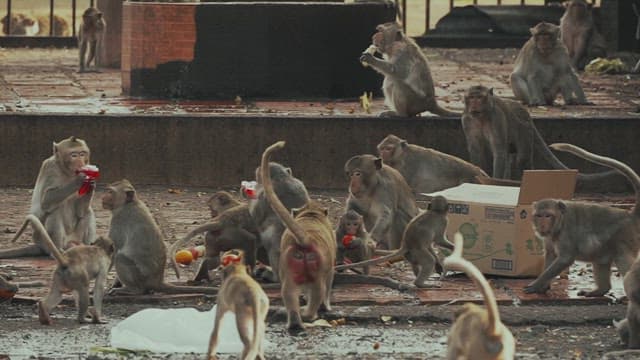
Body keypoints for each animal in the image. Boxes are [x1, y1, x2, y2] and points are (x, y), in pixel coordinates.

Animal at [260, 141, 338, 334]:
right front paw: (326, 306)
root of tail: (305, 239)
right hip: (316, 267)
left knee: (288, 291)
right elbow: (329, 281)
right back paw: (309, 314)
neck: (310, 215)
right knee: (319, 289)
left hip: (288, 263)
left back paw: (295, 321)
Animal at [524, 144, 640, 298]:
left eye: (548, 216)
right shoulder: (549, 237)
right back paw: (599, 291)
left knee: (623, 259)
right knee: (600, 261)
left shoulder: (567, 234)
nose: (542, 226)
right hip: (606, 247)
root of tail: (630, 215)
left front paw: (536, 284)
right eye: (539, 215)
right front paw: (543, 286)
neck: (561, 222)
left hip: (625, 238)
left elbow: (565, 259)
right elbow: (551, 255)